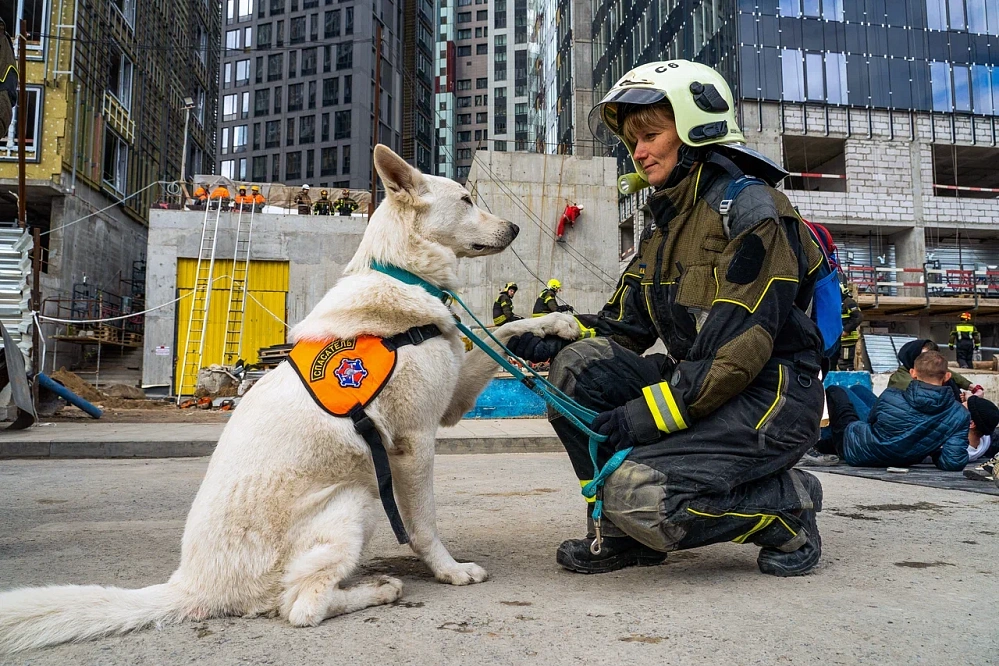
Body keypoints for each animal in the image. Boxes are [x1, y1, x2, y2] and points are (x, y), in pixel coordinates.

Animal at [0, 147, 580, 652]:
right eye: (464, 199)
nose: (515, 229)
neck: (402, 273)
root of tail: (195, 586)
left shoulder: (454, 400)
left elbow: (505, 331)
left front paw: (559, 324)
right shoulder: (416, 443)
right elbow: (424, 525)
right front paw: (449, 571)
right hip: (355, 499)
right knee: (300, 606)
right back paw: (378, 590)